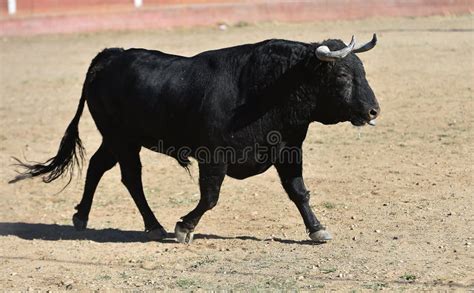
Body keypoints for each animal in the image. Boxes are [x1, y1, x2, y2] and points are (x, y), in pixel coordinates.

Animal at [11, 35, 380, 243]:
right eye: (343, 75)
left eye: (363, 70)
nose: (373, 110)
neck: (271, 88)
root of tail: (109, 56)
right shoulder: (213, 157)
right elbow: (210, 197)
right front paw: (184, 227)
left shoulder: (287, 149)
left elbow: (299, 192)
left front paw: (317, 229)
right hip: (121, 138)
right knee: (130, 177)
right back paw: (153, 225)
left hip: (119, 138)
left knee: (100, 166)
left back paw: (84, 217)